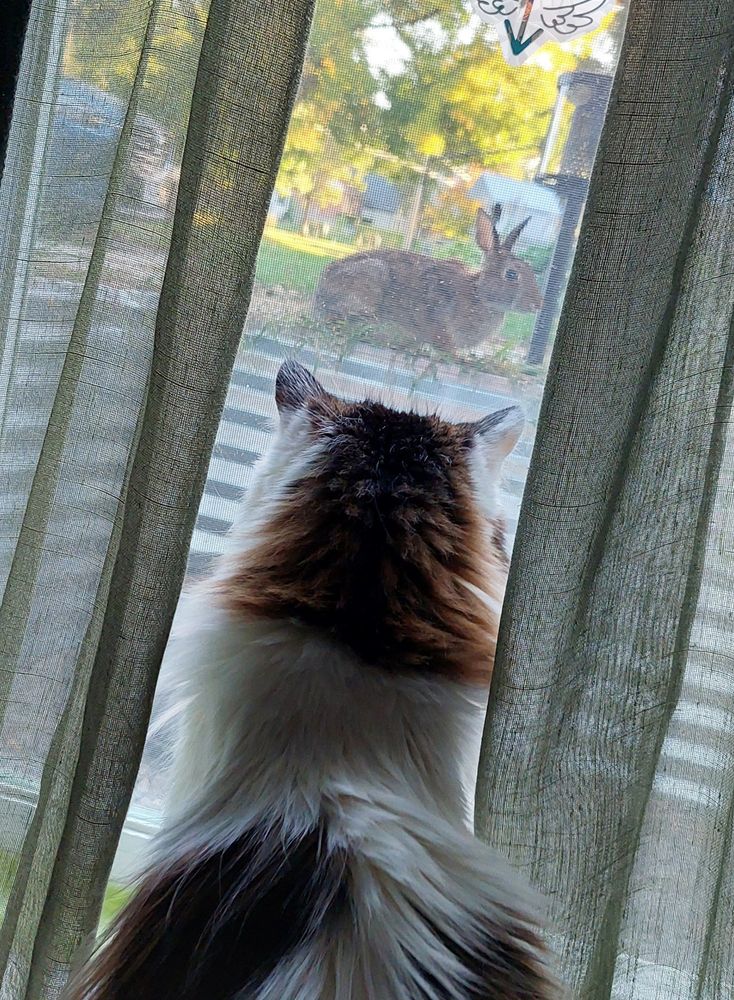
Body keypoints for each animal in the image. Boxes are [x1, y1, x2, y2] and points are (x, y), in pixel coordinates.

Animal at [314, 205, 542, 353]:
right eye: (512, 274)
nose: (537, 305)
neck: (479, 294)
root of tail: (320, 292)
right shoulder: (438, 322)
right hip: (371, 278)